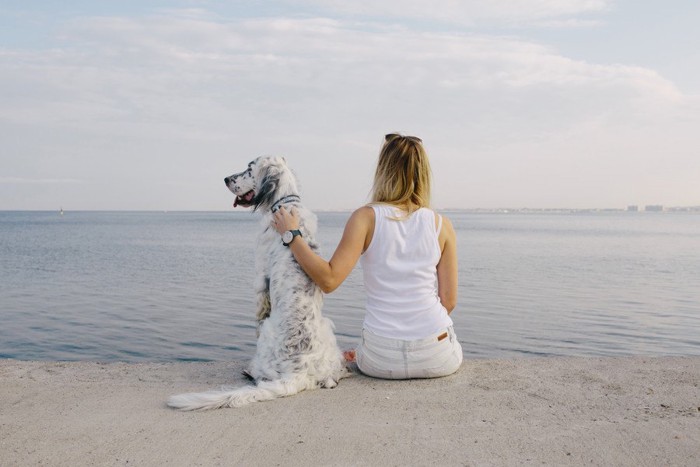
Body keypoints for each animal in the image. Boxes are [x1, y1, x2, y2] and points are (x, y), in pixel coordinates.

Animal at [170, 156, 350, 410]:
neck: (286, 204)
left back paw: (251, 371)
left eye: (249, 169)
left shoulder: (259, 281)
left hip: (268, 332)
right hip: (327, 327)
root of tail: (297, 375)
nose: (226, 179)